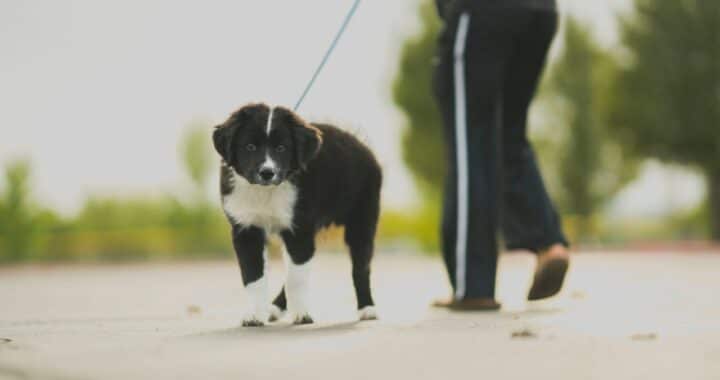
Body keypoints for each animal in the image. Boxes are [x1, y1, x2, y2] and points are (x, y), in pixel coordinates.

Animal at [212, 104, 382, 326]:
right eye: (249, 147)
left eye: (281, 148)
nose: (267, 173)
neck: (265, 192)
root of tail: (361, 144)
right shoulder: (246, 230)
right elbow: (253, 276)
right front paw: (254, 315)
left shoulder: (300, 230)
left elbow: (296, 279)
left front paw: (301, 314)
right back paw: (274, 308)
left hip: (362, 220)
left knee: (360, 267)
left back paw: (367, 309)